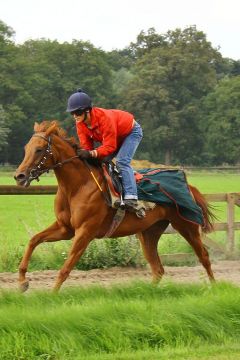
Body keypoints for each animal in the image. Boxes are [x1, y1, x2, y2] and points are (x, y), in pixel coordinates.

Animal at [13, 121, 216, 292]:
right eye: (25, 148)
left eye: (39, 149)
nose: (19, 176)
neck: (77, 187)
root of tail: (188, 186)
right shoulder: (65, 228)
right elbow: (34, 240)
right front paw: (22, 281)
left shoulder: (85, 232)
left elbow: (66, 267)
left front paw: (53, 295)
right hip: (149, 232)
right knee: (158, 268)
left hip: (186, 225)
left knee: (204, 256)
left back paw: (214, 287)